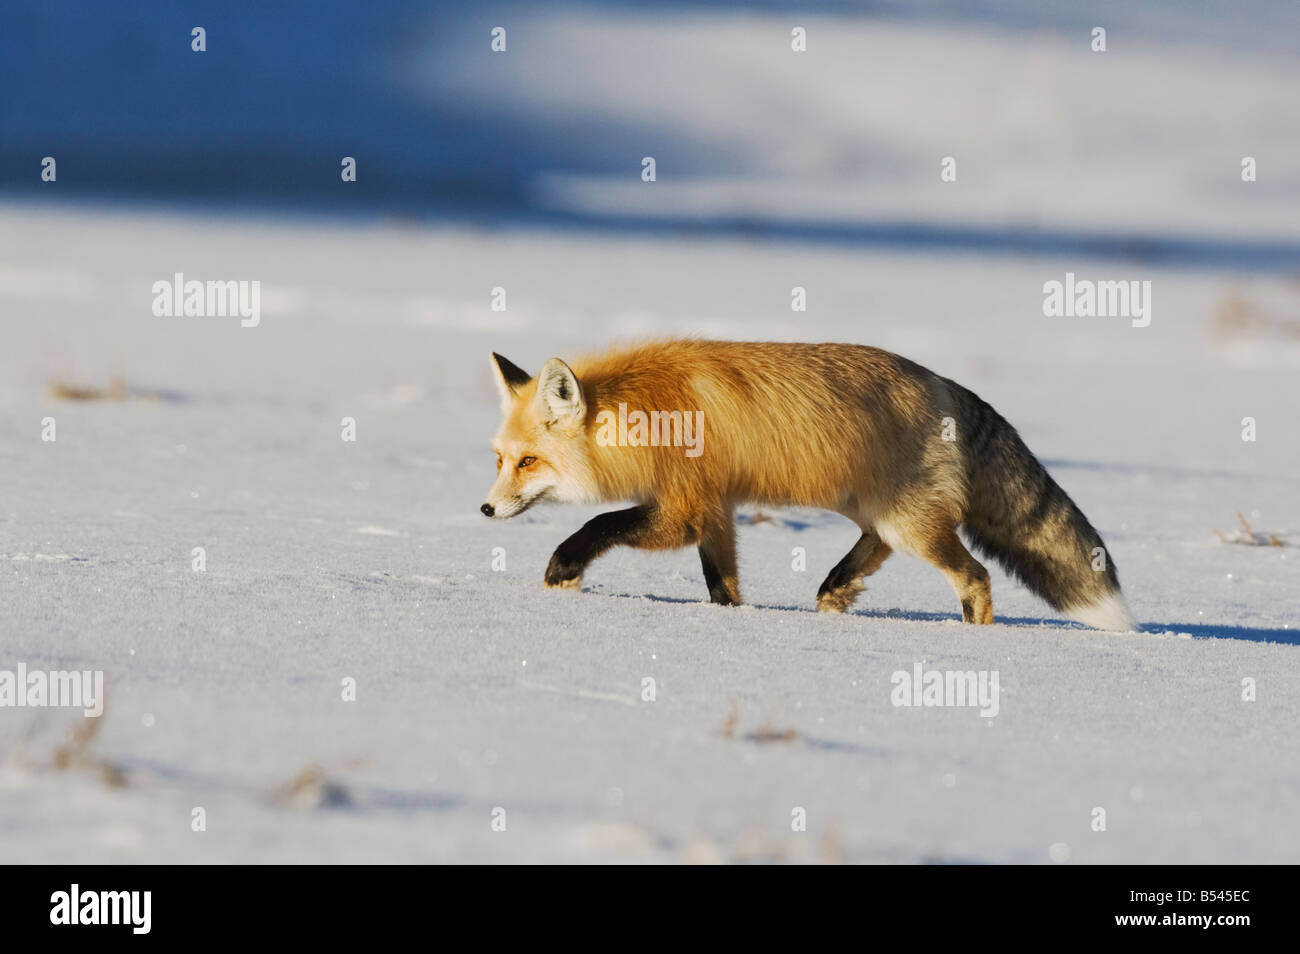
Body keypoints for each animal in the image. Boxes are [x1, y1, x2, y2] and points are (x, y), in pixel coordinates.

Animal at [480, 340, 1138, 631]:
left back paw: (977, 640)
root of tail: (944, 381)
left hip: (912, 523)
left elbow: (597, 523)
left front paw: (563, 570)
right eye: (499, 459)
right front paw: (733, 620)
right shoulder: (716, 511)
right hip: (873, 510)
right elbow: (722, 584)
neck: (645, 410)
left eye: (529, 463)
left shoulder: (685, 508)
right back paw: (835, 593)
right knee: (875, 547)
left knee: (974, 576)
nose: (485, 509)